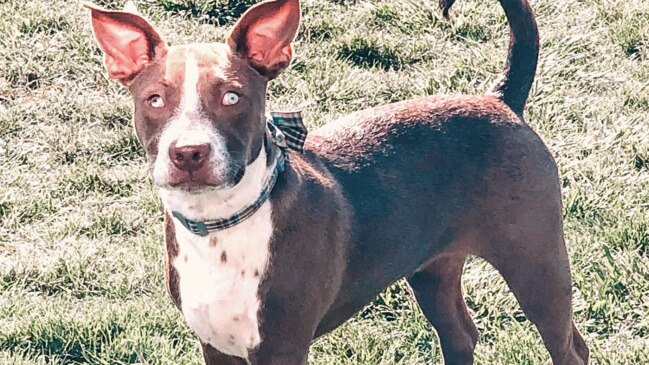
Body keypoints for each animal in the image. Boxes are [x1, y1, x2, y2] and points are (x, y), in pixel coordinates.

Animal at [86, 0, 592, 362]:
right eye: (154, 100)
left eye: (232, 97)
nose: (188, 153)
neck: (221, 225)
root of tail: (501, 100)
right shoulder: (216, 345)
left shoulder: (281, 347)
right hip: (432, 269)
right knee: (461, 335)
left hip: (536, 262)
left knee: (570, 346)